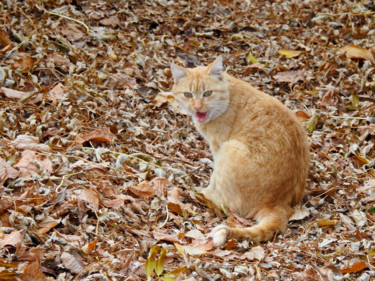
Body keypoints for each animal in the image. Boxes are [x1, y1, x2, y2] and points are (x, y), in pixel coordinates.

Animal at [171, 55, 312, 245]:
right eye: (188, 95)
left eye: (208, 93)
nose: (198, 107)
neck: (228, 99)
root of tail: (279, 202)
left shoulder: (218, 147)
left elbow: (214, 180)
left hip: (230, 148)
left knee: (225, 201)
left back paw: (197, 193)